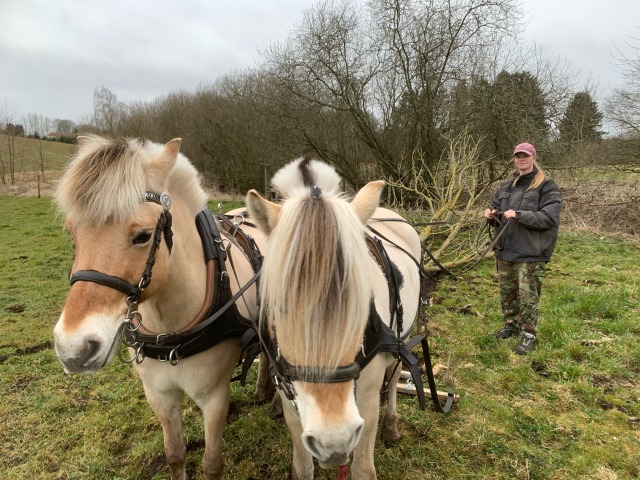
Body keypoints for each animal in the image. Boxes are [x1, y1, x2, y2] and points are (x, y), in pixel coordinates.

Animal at [51, 135, 268, 480]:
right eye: (72, 234)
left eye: (142, 236)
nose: (74, 348)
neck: (170, 330)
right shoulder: (159, 395)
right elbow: (175, 454)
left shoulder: (215, 397)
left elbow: (212, 464)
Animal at [248, 158, 422, 480]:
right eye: (279, 308)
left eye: (361, 309)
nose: (334, 440)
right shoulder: (291, 398)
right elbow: (302, 468)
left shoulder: (366, 400)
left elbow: (363, 469)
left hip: (403, 336)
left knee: (394, 376)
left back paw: (392, 424)